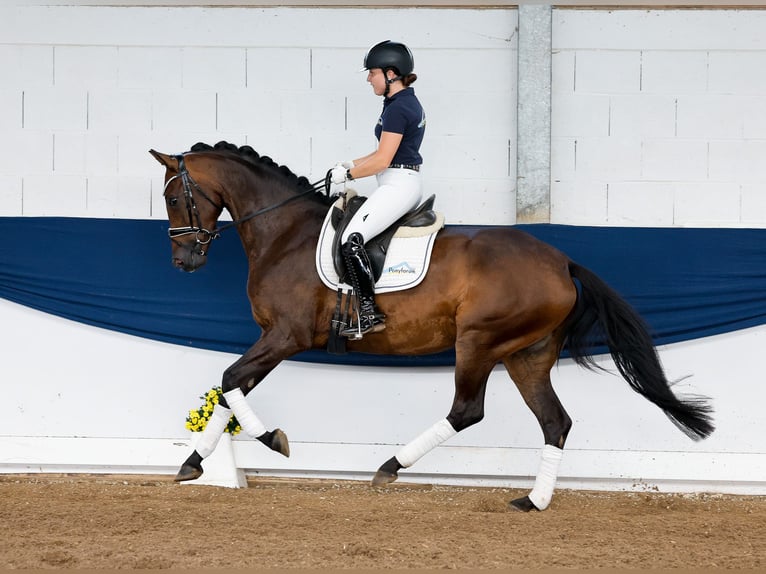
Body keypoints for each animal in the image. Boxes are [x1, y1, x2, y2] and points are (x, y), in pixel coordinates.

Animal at [152, 142, 720, 510]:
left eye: (175, 198)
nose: (183, 262)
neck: (285, 232)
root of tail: (561, 262)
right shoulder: (274, 339)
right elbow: (230, 389)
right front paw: (193, 465)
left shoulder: (284, 337)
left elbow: (229, 381)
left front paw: (273, 441)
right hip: (527, 354)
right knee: (555, 422)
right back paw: (533, 501)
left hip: (479, 342)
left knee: (467, 410)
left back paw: (390, 468)